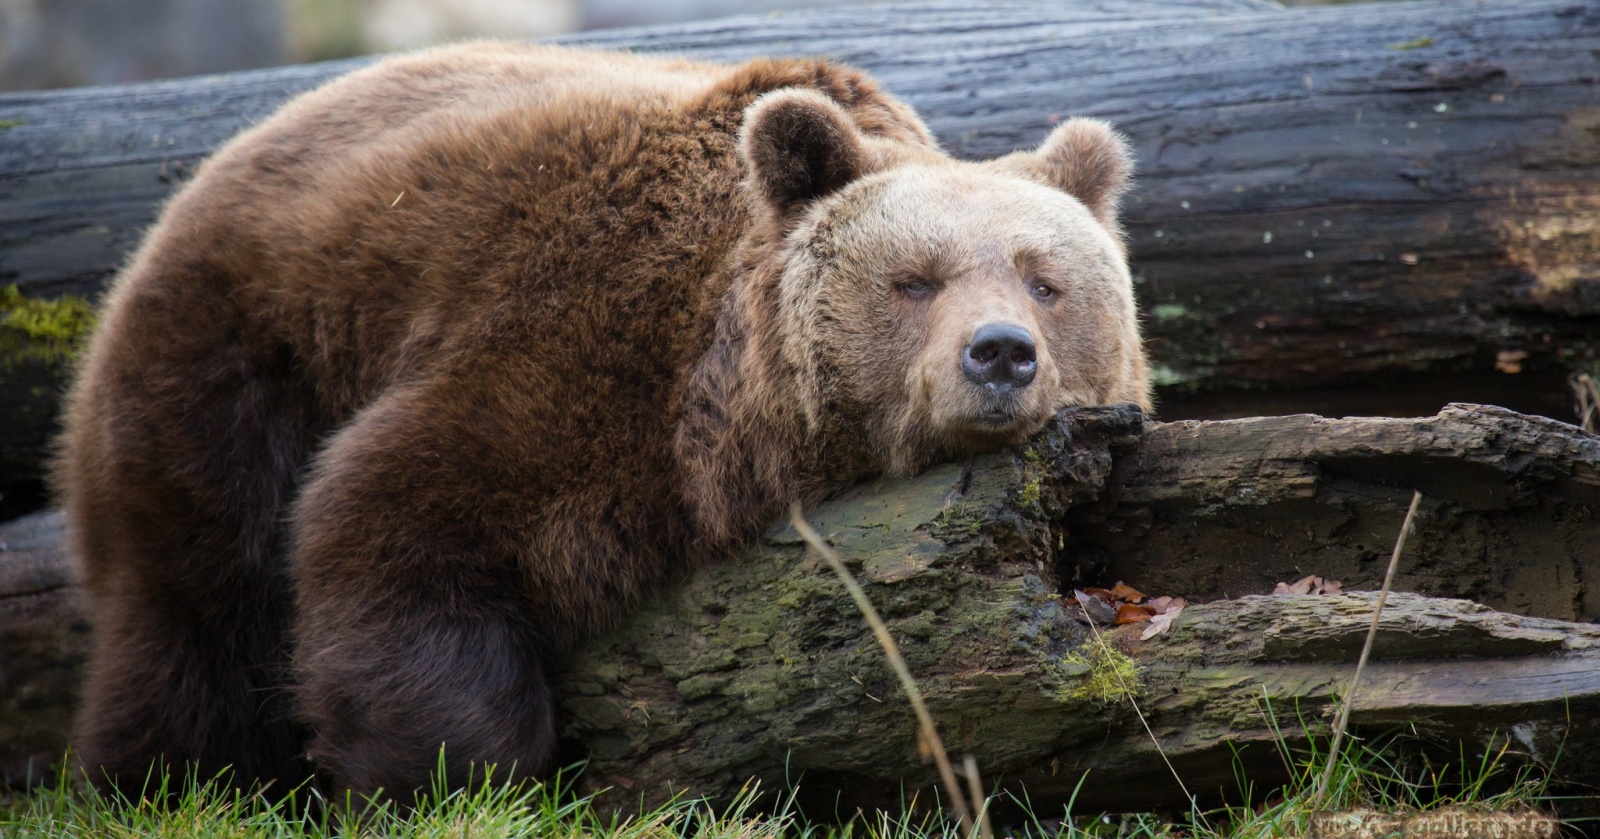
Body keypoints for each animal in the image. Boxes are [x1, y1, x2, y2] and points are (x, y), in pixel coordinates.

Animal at [53, 42, 1152, 803]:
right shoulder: (572, 352)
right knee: (196, 600)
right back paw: (164, 780)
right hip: (237, 354)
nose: (1000, 353)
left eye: (1045, 280)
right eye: (915, 280)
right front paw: (454, 775)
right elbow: (392, 522)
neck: (725, 415)